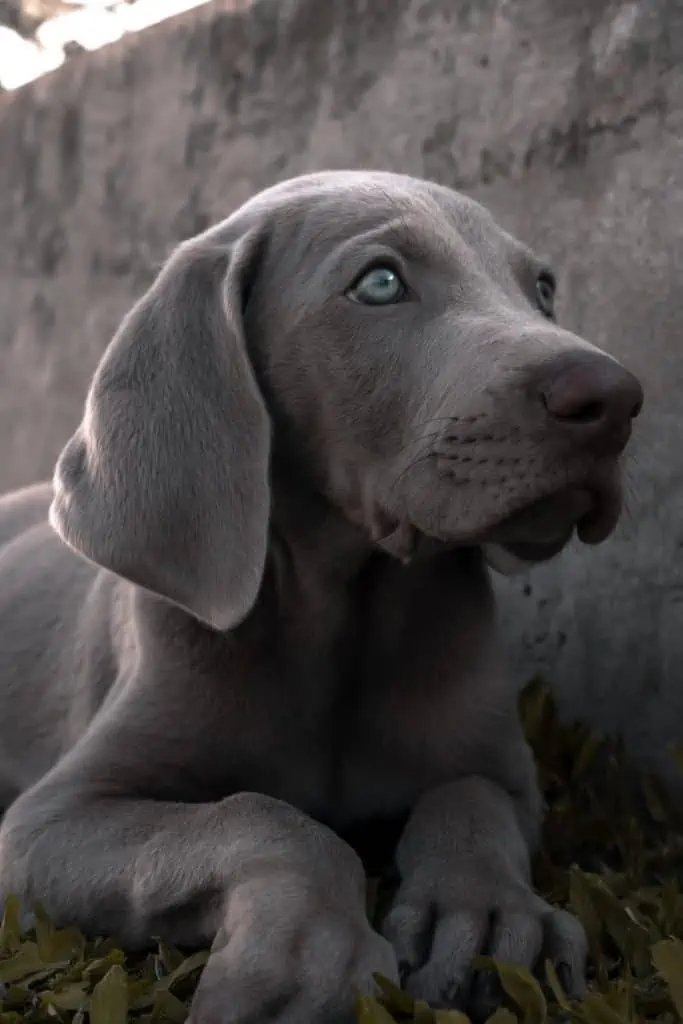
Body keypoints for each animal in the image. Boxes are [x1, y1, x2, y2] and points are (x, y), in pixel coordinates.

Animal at [0, 172, 643, 1019]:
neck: (343, 614)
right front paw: (302, 956)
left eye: (542, 290)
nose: (616, 397)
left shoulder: (507, 774)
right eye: (379, 283)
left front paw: (487, 919)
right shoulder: (49, 821)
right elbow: (261, 817)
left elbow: (470, 797)